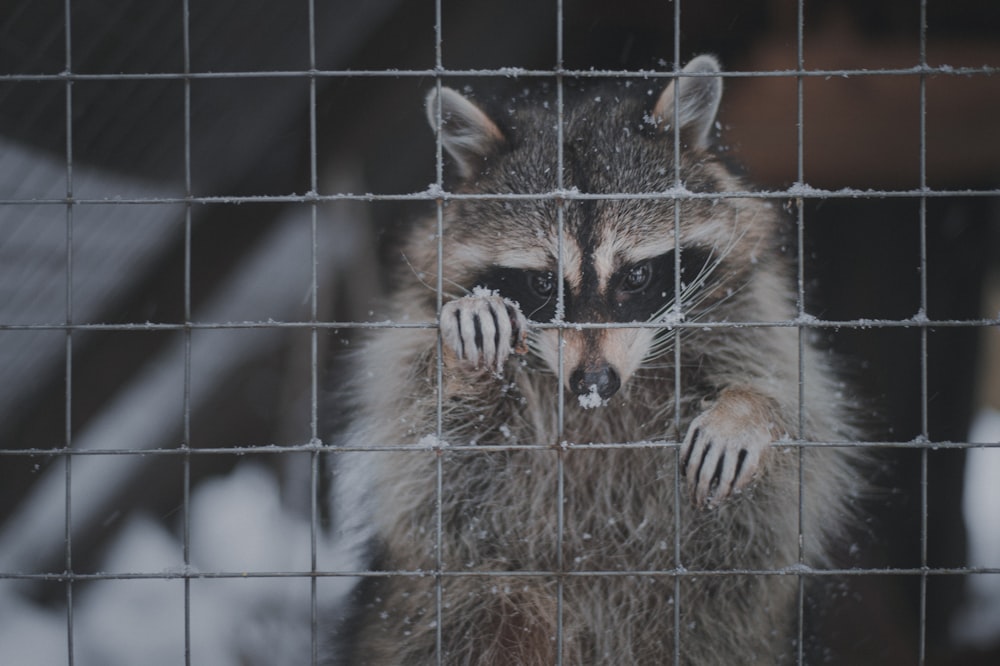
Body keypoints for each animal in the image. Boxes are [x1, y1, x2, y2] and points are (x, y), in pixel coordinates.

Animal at [332, 57, 864, 664]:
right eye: (542, 284)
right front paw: (462, 350)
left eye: (636, 276)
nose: (594, 382)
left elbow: (800, 442)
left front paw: (748, 410)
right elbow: (427, 464)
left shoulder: (750, 315)